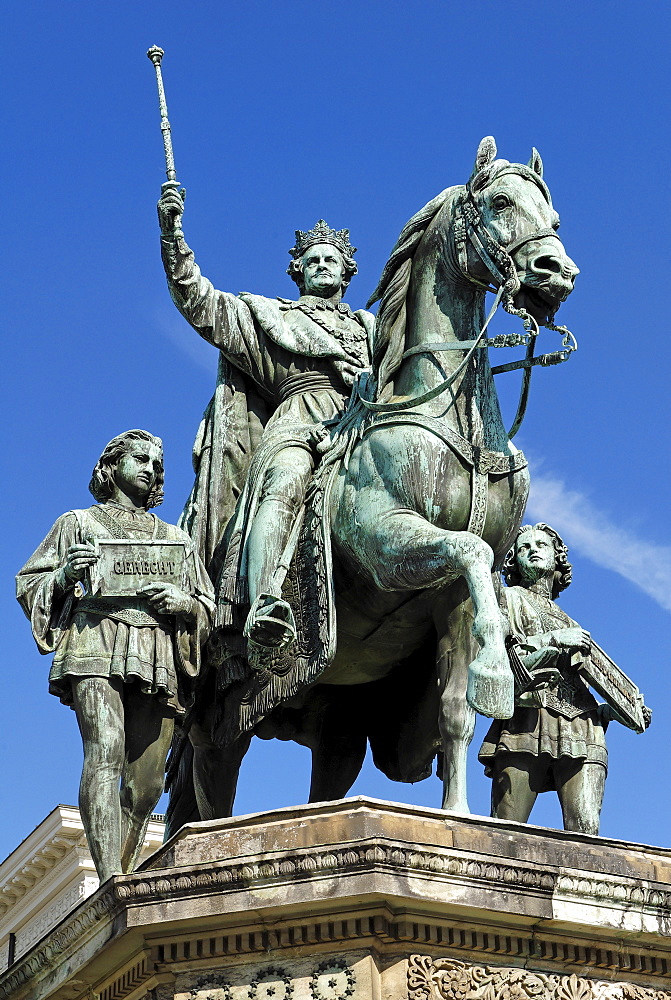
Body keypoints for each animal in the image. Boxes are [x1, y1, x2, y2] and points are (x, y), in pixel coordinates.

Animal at [168, 137, 576, 832]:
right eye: (500, 201)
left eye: (550, 210)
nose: (557, 271)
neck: (444, 414)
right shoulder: (387, 543)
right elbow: (473, 550)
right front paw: (499, 671)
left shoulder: (449, 598)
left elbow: (455, 709)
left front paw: (459, 815)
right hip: (216, 710)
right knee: (209, 782)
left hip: (337, 713)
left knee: (322, 780)